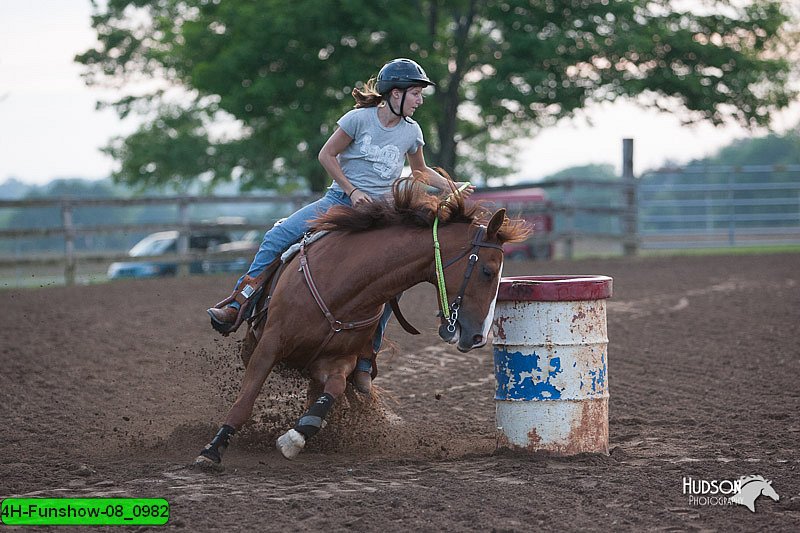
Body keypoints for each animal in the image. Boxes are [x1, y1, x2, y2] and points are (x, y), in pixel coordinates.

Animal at [195, 176, 532, 462]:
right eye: (487, 270)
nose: (477, 337)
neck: (344, 284)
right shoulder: (270, 344)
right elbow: (244, 401)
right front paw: (212, 450)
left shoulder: (337, 361)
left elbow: (332, 391)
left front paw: (297, 435)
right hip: (253, 345)